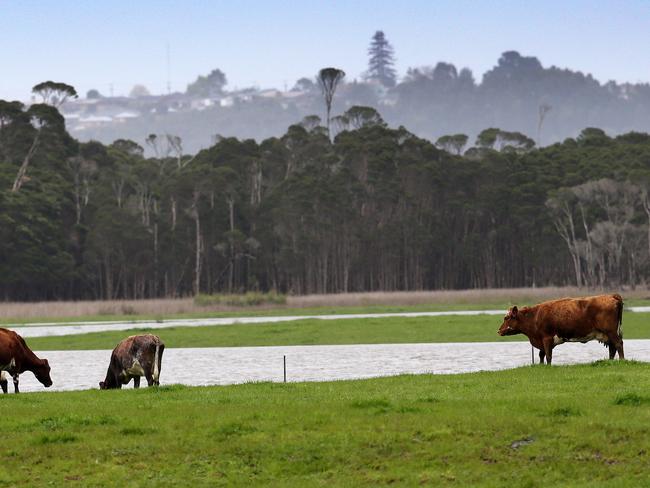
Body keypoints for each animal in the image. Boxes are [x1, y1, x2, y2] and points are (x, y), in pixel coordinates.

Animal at [496, 292, 624, 364]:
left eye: (506, 317)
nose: (499, 330)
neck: (535, 316)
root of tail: (611, 296)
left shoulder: (546, 338)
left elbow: (548, 355)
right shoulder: (542, 339)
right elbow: (541, 355)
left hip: (611, 332)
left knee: (618, 344)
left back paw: (622, 360)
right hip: (608, 334)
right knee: (612, 348)